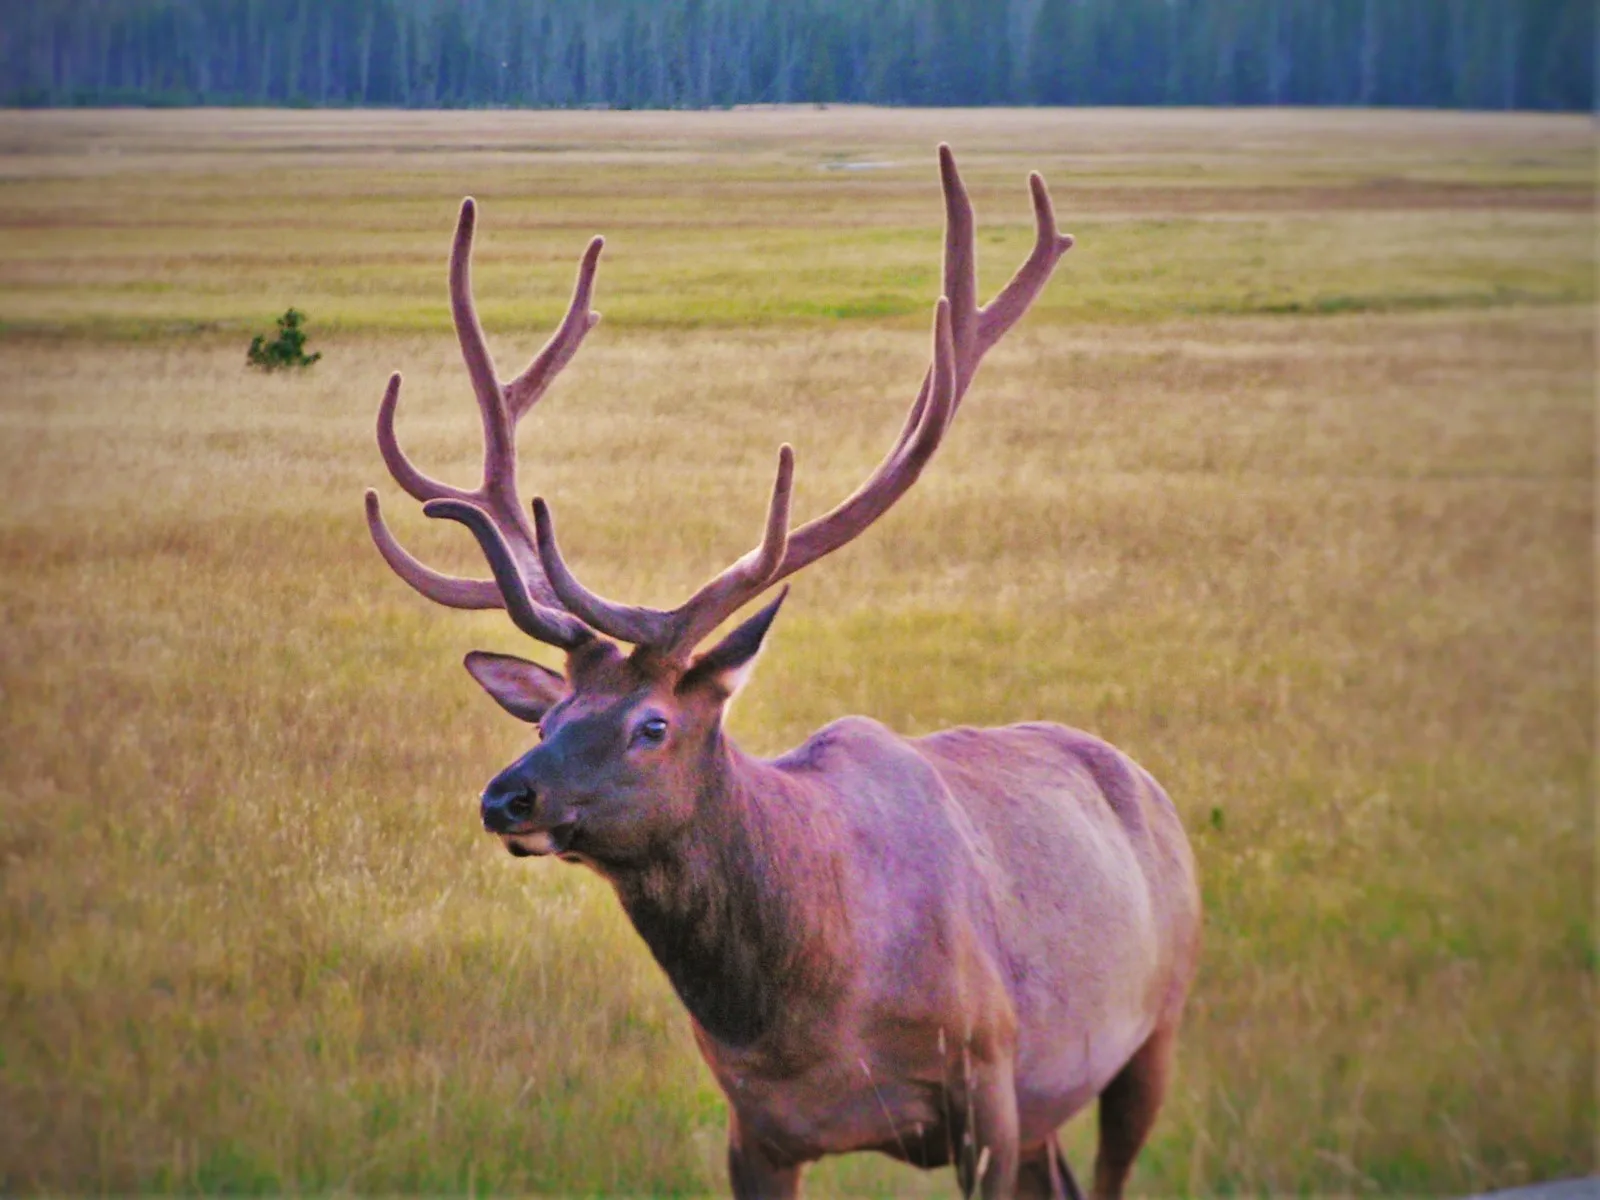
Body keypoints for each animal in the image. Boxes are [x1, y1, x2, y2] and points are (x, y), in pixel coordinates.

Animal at [363, 148, 1203, 1200]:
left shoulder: (988, 1080)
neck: (809, 1016)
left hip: (1153, 1025)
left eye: (652, 724)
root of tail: (1148, 784)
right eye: (545, 721)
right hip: (1054, 1103)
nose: (505, 798)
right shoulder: (754, 1127)